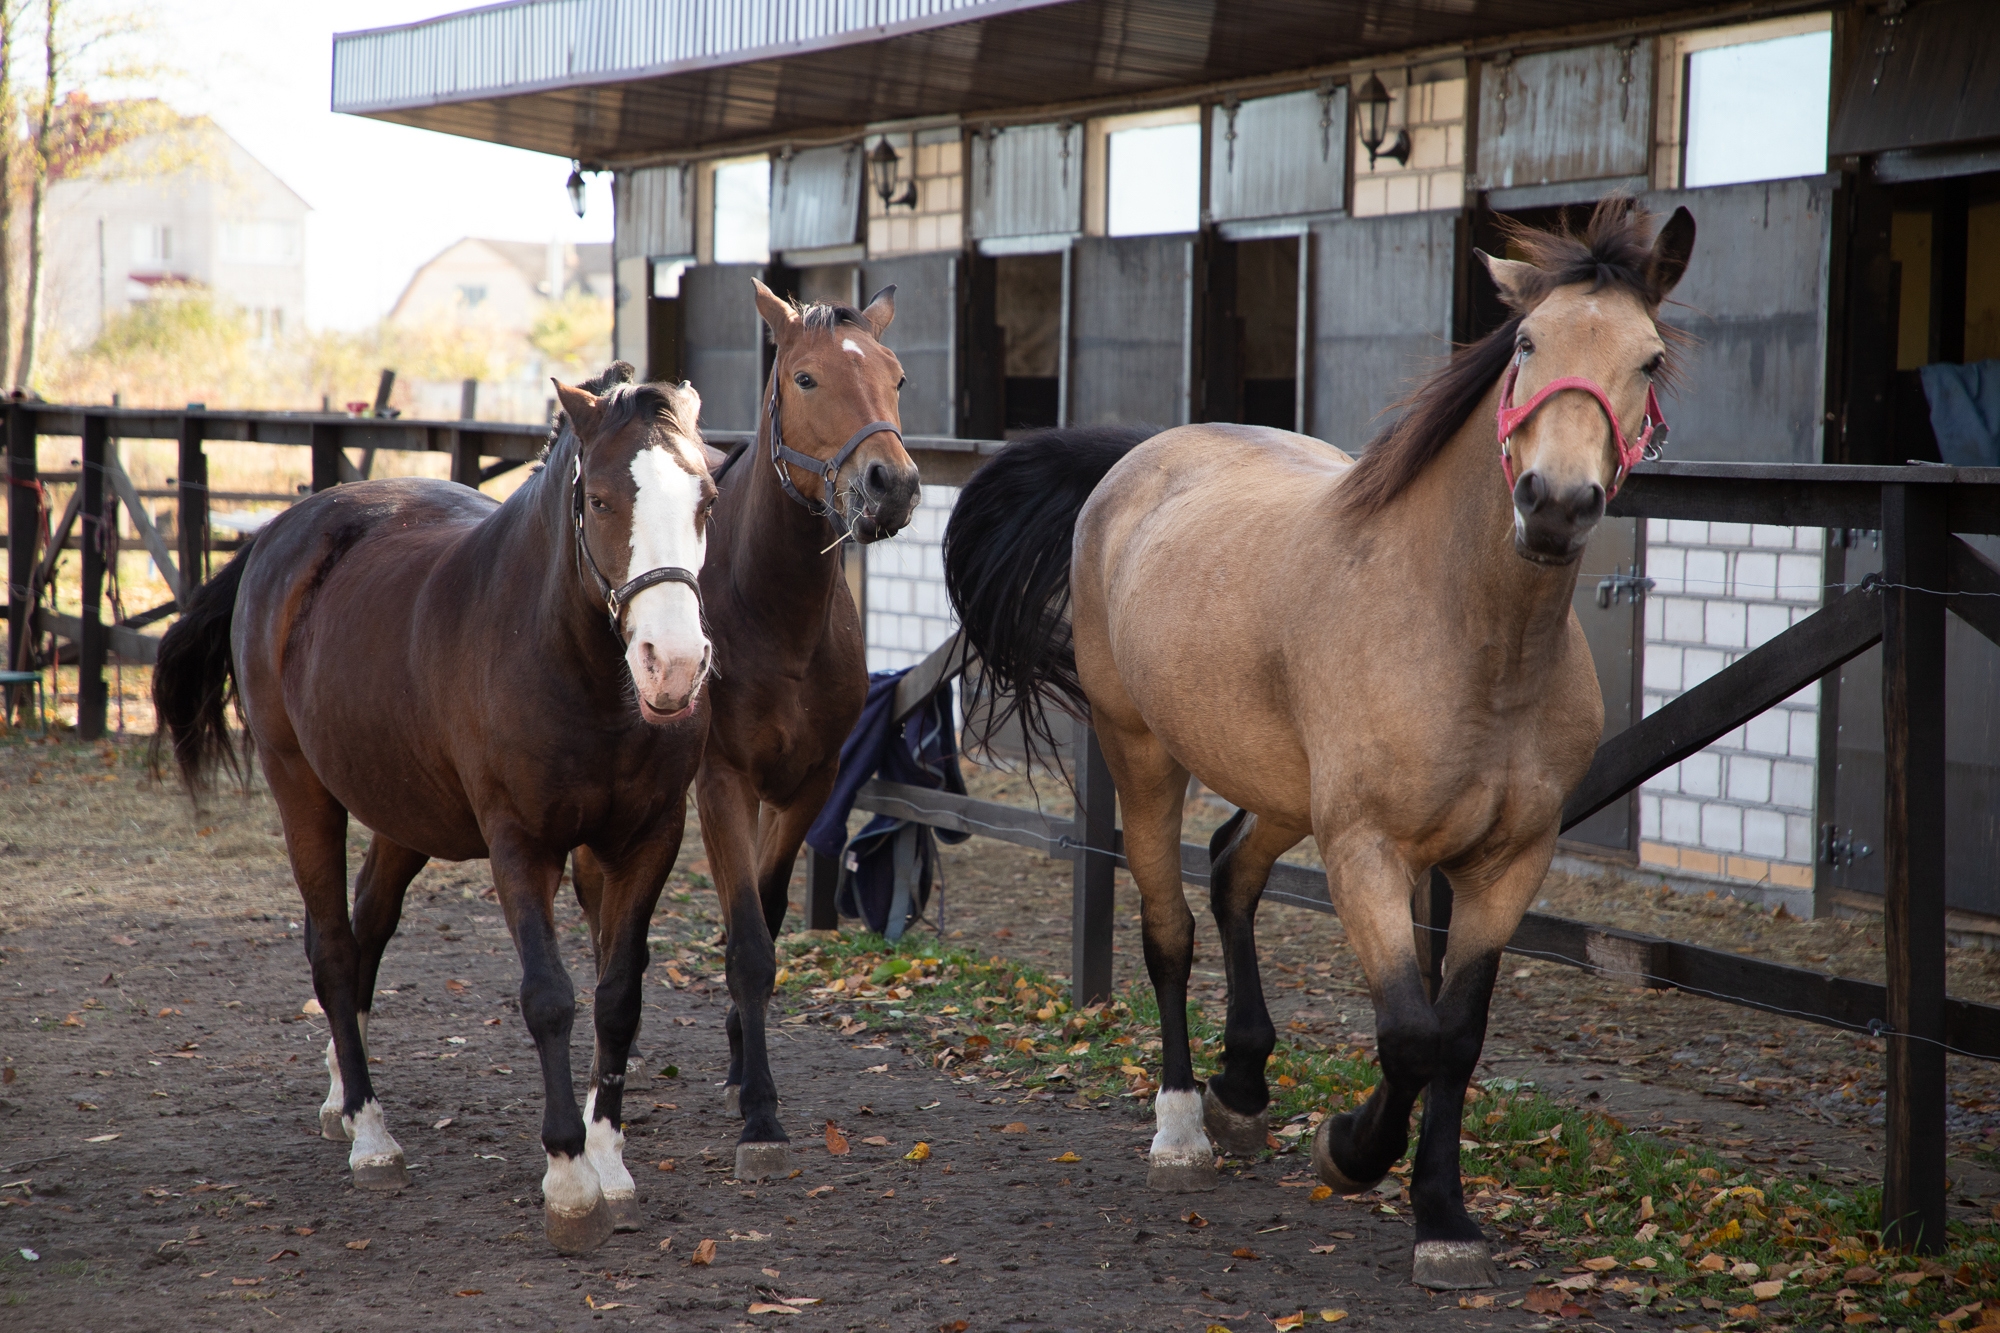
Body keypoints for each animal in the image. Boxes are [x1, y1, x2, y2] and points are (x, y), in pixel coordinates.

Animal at [156, 370, 720, 1248]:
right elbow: (550, 996)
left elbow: (617, 997)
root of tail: (287, 528)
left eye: (707, 499)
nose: (676, 666)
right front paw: (568, 1179)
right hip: (301, 788)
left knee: (368, 927)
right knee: (333, 946)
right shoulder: (520, 845)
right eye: (598, 499)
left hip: (399, 811)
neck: (584, 675)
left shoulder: (647, 841)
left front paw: (610, 1161)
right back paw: (371, 1133)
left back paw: (340, 1094)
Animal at [576, 278, 924, 1176]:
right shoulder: (721, 782)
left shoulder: (807, 785)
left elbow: (761, 922)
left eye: (897, 378)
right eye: (805, 378)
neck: (775, 610)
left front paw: (745, 1067)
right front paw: (762, 1114)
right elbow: (745, 943)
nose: (892, 485)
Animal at [944, 200, 1696, 1288]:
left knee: (1230, 870)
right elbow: (1408, 1034)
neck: (1472, 640)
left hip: (1284, 788)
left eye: (1647, 358)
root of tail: (1139, 459)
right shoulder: (1367, 851)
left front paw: (1443, 1216)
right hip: (1143, 751)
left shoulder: (1506, 862)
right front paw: (1351, 1150)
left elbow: (1456, 1035)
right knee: (1169, 928)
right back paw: (1184, 1123)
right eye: (1525, 343)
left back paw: (1244, 1084)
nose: (1555, 504)